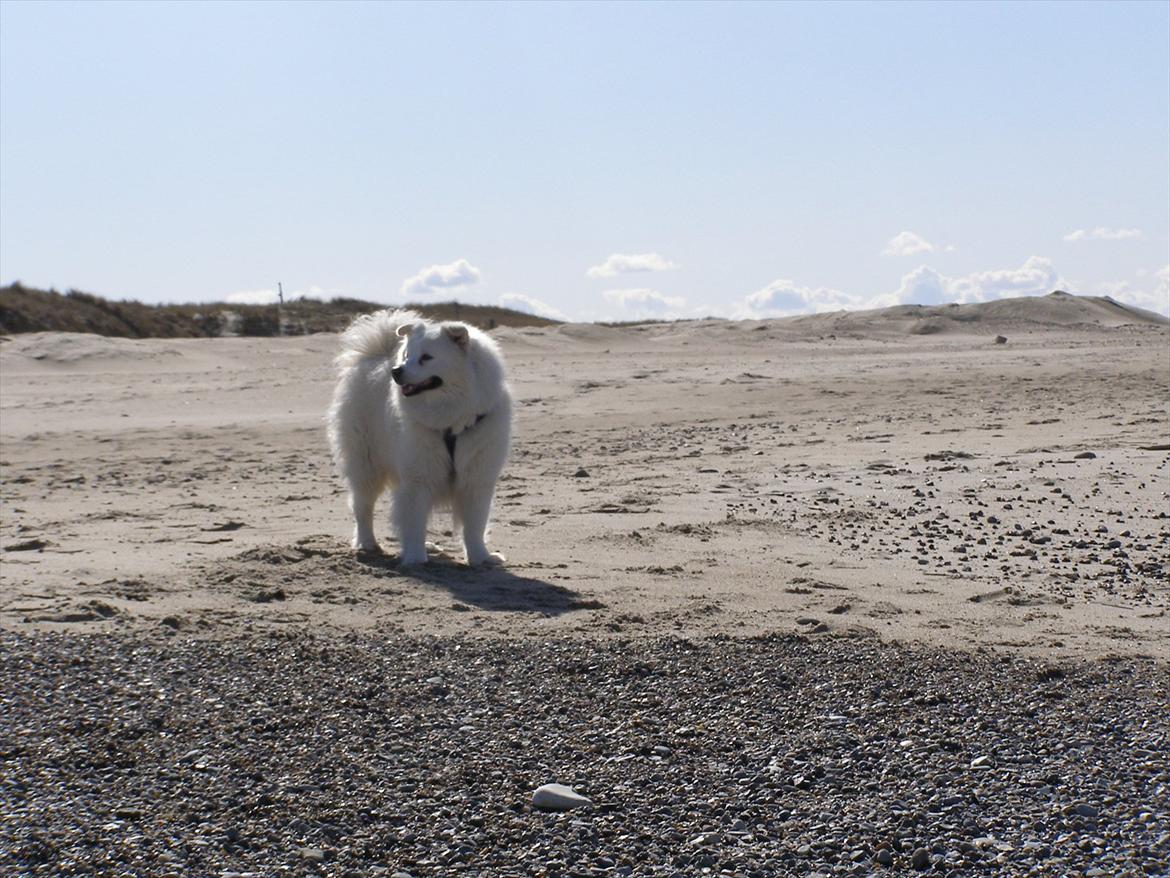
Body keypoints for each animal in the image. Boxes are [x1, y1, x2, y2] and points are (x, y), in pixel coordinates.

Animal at [329, 309, 512, 566]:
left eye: (426, 357)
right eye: (407, 356)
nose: (396, 371)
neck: (451, 420)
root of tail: (375, 355)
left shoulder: (477, 478)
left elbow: (474, 525)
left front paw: (480, 558)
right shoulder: (418, 477)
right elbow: (414, 522)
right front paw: (415, 559)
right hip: (366, 465)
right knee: (362, 507)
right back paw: (367, 544)